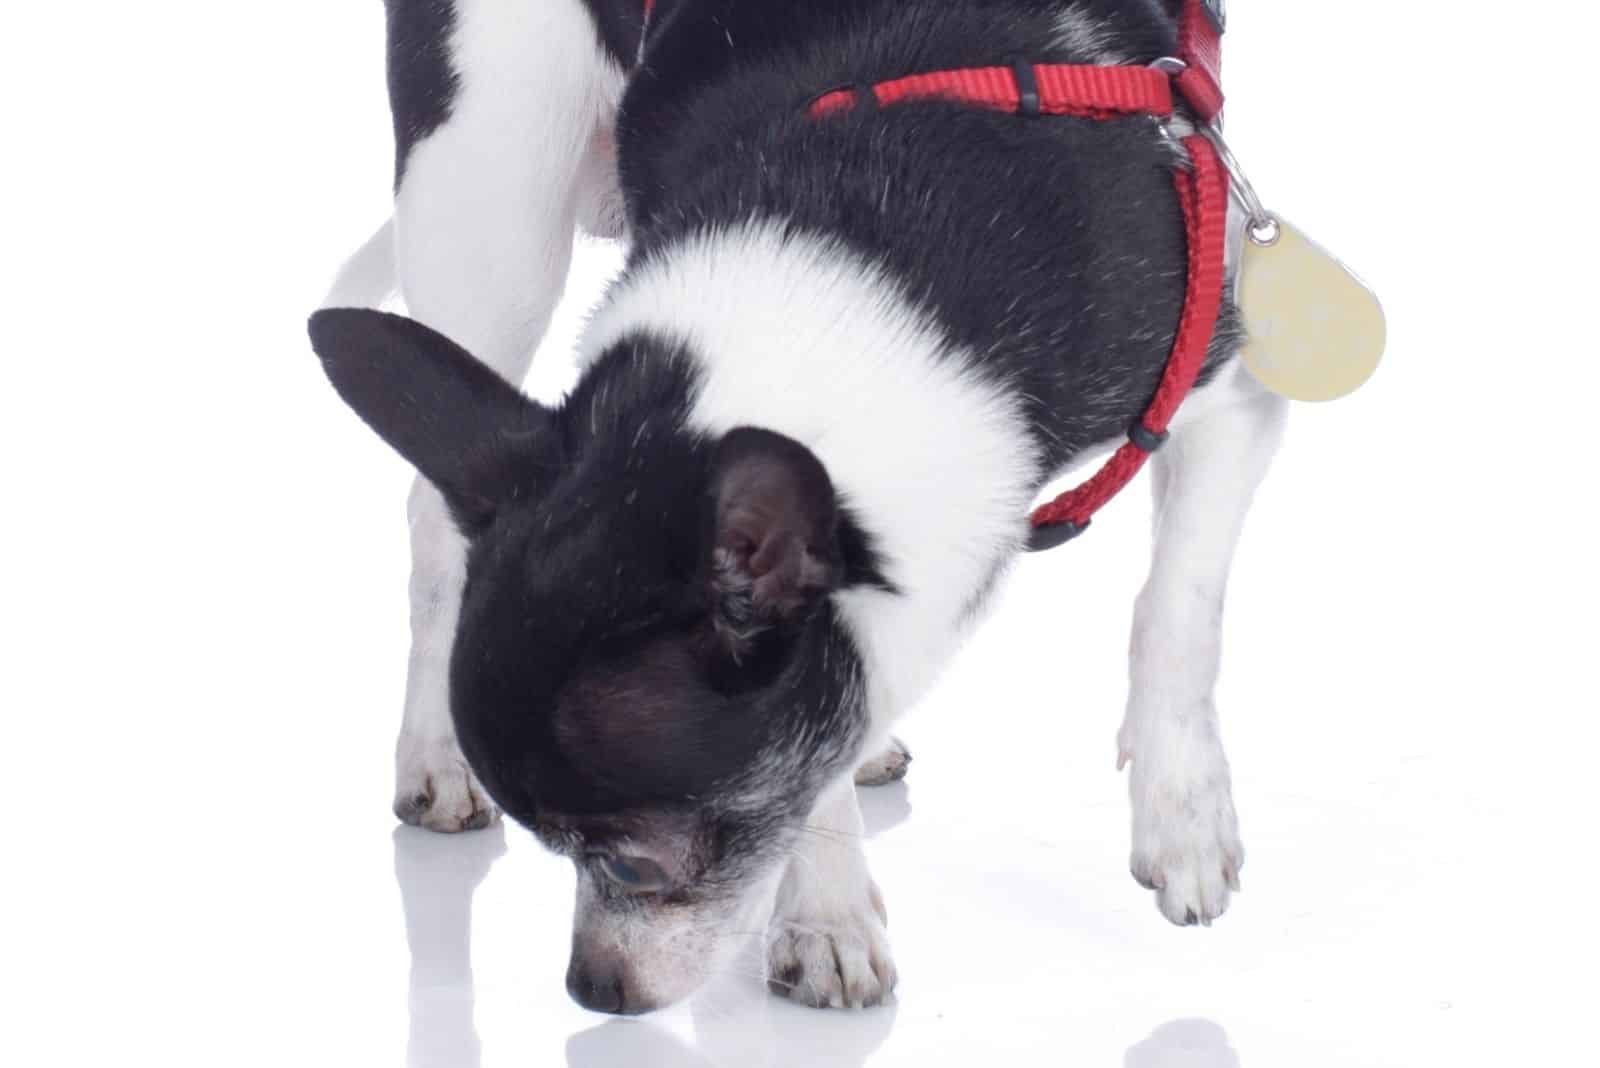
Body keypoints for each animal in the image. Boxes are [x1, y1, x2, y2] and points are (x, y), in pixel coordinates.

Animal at [308, 0, 1286, 1016]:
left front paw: (1184, 815)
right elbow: (818, 749)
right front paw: (827, 915)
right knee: (433, 520)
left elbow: (1177, 614)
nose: (592, 989)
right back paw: (431, 757)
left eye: (632, 867)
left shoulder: (1227, 397)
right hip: (488, 192)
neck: (873, 229)